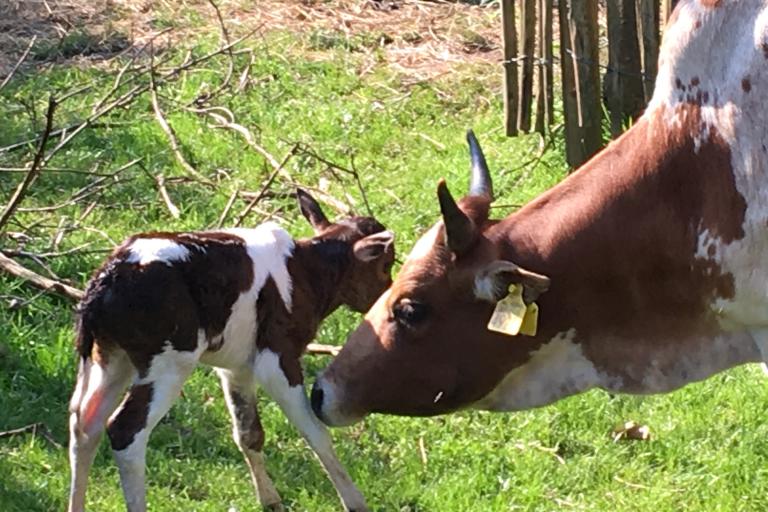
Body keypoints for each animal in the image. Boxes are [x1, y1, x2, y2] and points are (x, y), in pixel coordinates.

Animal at [67, 189, 392, 512]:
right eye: (386, 265)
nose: (386, 297)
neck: (306, 272)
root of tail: (108, 276)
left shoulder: (235, 367)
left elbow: (249, 433)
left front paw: (270, 500)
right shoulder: (277, 357)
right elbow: (316, 432)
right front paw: (355, 502)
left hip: (111, 358)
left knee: (85, 423)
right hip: (169, 362)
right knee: (125, 431)